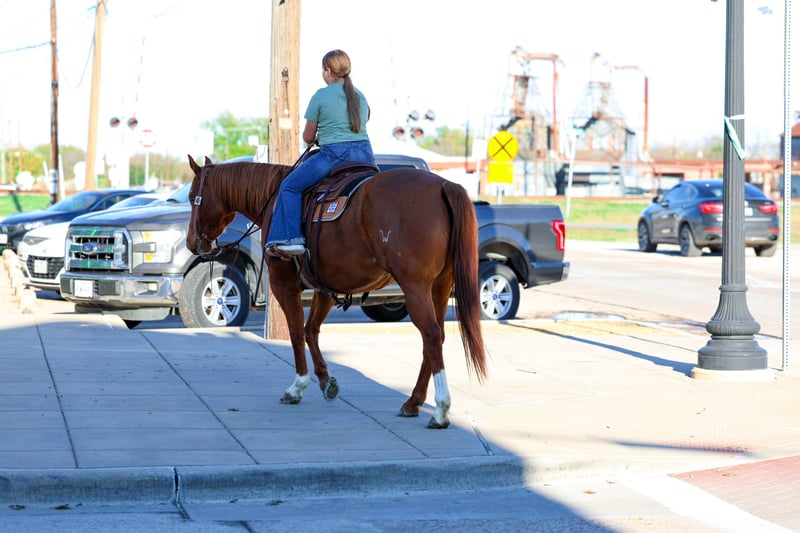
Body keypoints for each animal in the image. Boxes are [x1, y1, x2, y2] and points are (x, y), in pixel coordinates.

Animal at [185, 155, 487, 429]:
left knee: (431, 335)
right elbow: (311, 330)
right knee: (436, 337)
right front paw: (325, 379)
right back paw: (413, 402)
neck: (273, 197)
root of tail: (443, 185)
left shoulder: (283, 283)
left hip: (415, 286)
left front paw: (298, 386)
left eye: (191, 197)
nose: (191, 243)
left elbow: (296, 332)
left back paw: (440, 410)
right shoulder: (326, 287)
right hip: (439, 285)